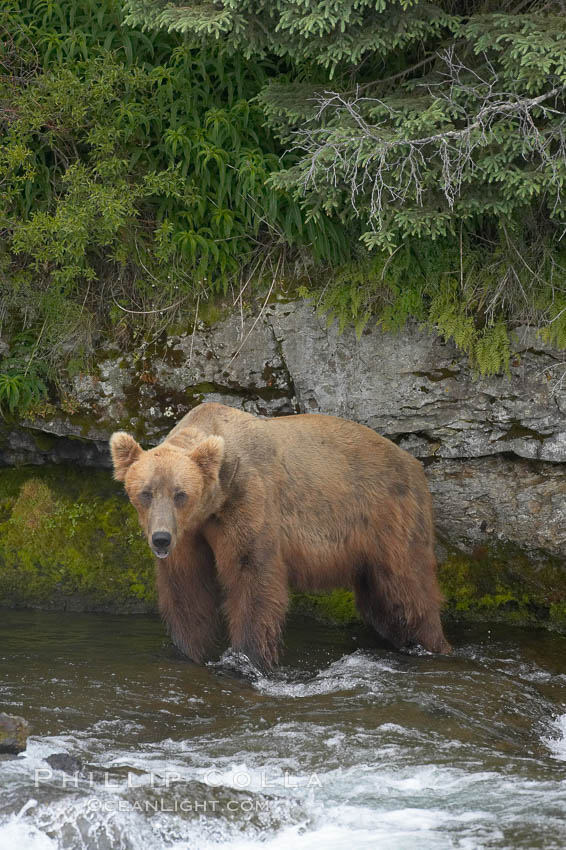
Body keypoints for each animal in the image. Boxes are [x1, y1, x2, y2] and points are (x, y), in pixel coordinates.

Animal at [108, 400, 450, 664]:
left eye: (181, 494)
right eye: (145, 493)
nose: (161, 539)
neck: (214, 501)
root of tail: (414, 462)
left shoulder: (247, 500)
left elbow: (253, 577)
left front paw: (246, 657)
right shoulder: (190, 534)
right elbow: (186, 587)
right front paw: (189, 650)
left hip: (390, 515)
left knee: (407, 589)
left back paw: (433, 644)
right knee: (381, 602)